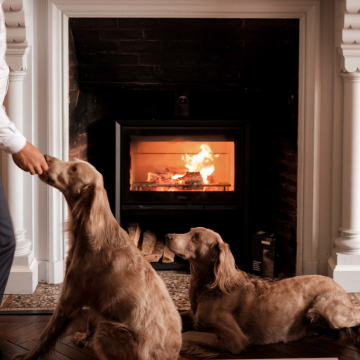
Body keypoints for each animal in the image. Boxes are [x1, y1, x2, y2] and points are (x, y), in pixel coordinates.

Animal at [14, 156, 181, 360]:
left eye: (74, 169)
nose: (46, 157)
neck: (90, 231)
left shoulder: (69, 298)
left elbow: (47, 334)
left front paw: (28, 356)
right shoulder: (93, 297)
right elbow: (91, 320)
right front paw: (86, 339)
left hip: (108, 329)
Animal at [165, 228, 360, 358]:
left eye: (196, 237)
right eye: (190, 231)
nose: (167, 236)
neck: (208, 287)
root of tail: (339, 286)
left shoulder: (233, 339)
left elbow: (188, 335)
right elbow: (177, 316)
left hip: (324, 310)